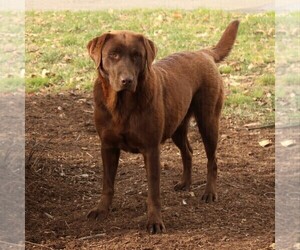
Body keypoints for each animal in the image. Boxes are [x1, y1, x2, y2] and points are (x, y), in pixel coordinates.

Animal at [86, 20, 239, 233]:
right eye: (113, 54)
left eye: (137, 55)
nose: (127, 80)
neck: (121, 105)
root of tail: (203, 52)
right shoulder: (107, 147)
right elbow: (107, 184)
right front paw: (101, 210)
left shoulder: (151, 149)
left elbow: (153, 190)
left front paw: (154, 221)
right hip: (177, 126)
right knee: (188, 151)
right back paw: (185, 183)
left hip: (208, 121)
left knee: (212, 160)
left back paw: (209, 193)